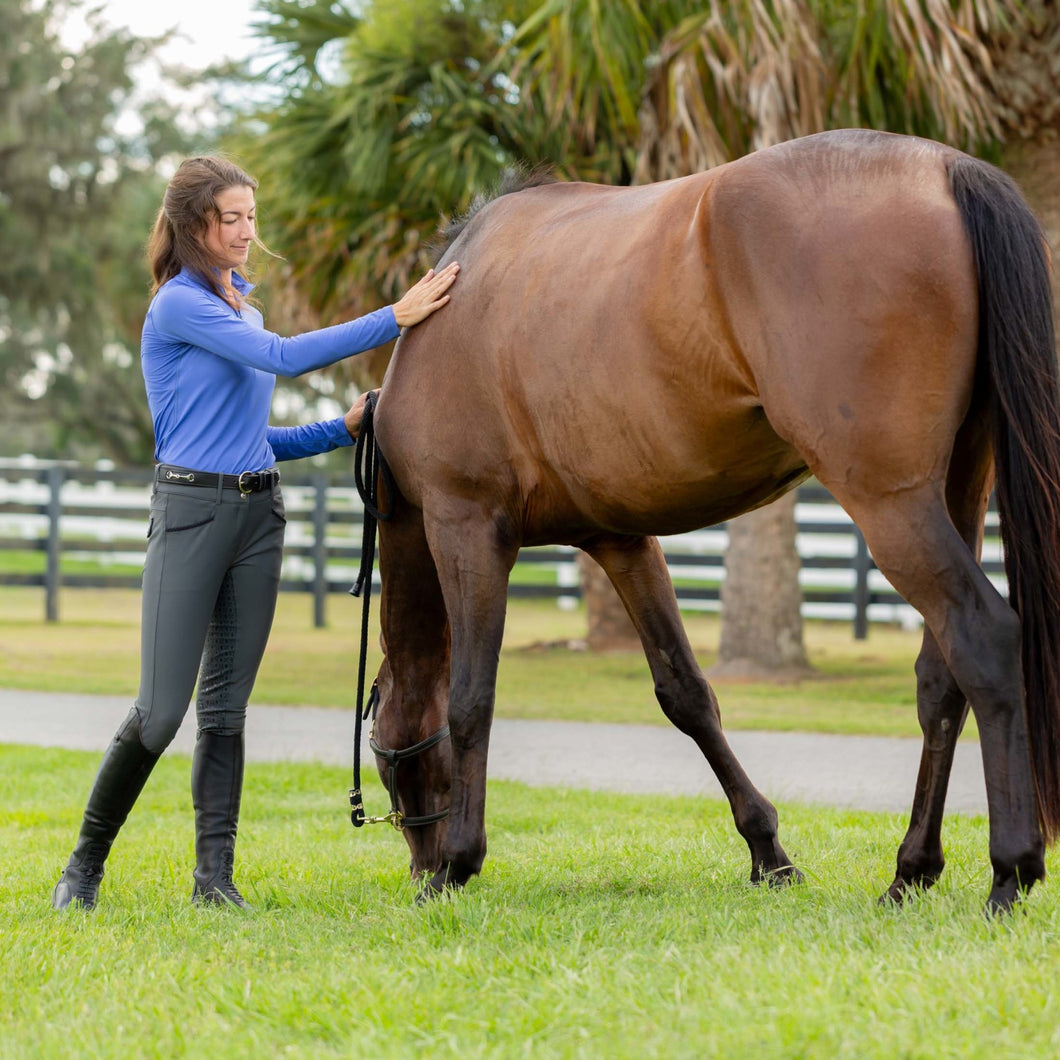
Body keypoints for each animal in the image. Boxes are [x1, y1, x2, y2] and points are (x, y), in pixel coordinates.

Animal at [366, 130, 1060, 911]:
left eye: (386, 765)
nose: (418, 863)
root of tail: (946, 167)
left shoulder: (467, 527)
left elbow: (469, 699)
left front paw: (459, 863)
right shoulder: (621, 541)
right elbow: (686, 693)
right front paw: (769, 854)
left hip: (891, 502)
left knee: (984, 638)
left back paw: (1010, 870)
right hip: (959, 489)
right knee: (940, 676)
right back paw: (911, 869)